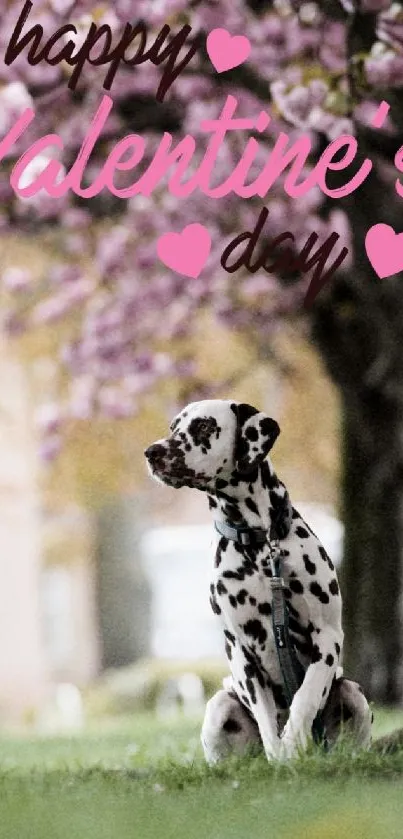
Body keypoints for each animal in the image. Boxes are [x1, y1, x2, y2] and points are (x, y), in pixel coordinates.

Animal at [144, 400, 372, 760]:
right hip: (219, 706)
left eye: (203, 426)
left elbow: (306, 696)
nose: (152, 452)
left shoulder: (328, 637)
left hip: (354, 694)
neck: (260, 543)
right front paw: (281, 757)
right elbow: (266, 721)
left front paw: (293, 742)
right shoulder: (240, 651)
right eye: (172, 427)